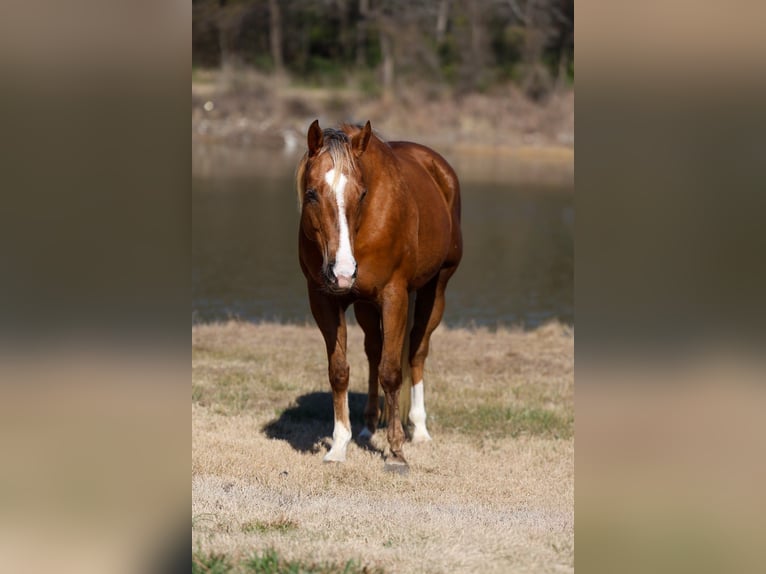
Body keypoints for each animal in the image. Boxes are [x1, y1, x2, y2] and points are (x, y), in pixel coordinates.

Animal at [296, 120, 462, 472]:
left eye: (361, 194)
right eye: (312, 193)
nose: (343, 272)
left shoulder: (394, 296)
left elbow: (391, 372)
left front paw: (396, 451)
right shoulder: (324, 300)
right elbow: (340, 371)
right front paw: (339, 446)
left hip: (435, 289)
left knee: (416, 352)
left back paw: (419, 429)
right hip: (365, 306)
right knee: (374, 351)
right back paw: (369, 426)